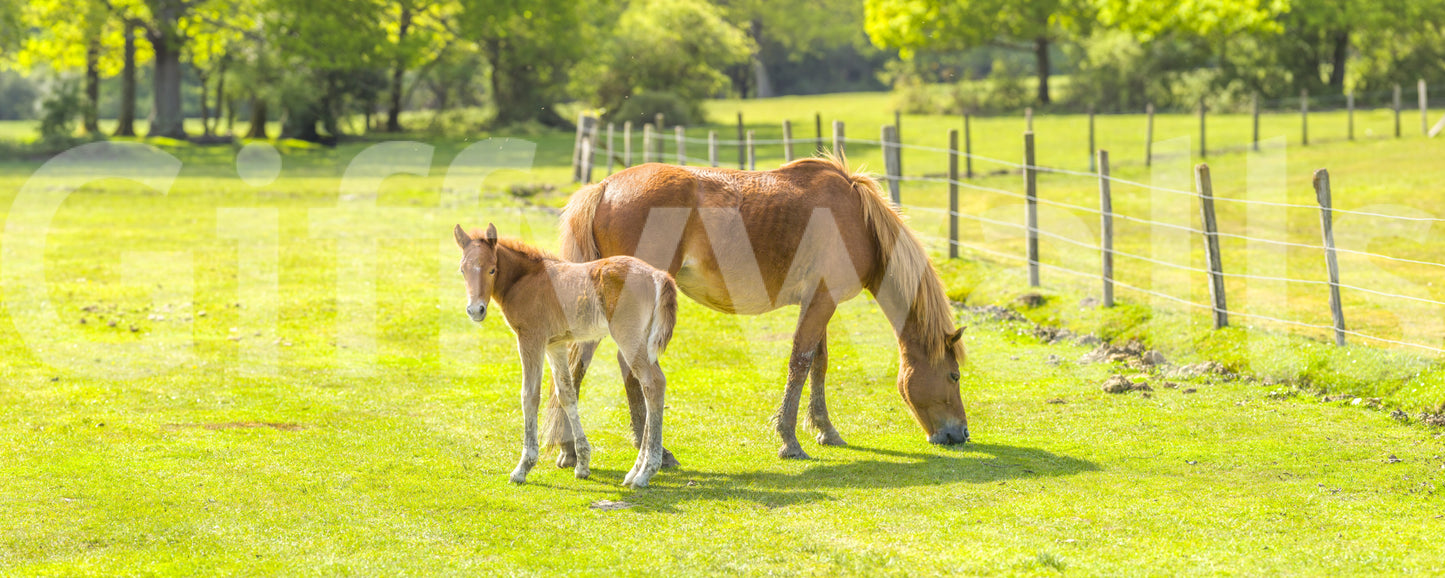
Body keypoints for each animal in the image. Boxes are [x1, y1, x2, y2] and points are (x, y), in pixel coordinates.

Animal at [453, 223, 678, 488]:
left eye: (492, 269)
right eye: (463, 269)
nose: (475, 310)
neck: (526, 279)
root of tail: (657, 275)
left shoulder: (531, 339)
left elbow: (529, 396)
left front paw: (523, 467)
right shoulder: (556, 345)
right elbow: (566, 394)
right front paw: (582, 464)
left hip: (629, 338)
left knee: (653, 383)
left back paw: (645, 473)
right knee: (651, 386)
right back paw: (634, 471)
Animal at [551, 155, 967, 465]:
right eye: (954, 376)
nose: (961, 433)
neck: (859, 220)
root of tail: (605, 187)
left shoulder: (820, 302)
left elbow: (818, 364)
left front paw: (825, 430)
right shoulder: (822, 302)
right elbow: (800, 362)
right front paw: (790, 440)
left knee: (581, 362)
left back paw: (573, 449)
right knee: (626, 365)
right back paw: (649, 448)